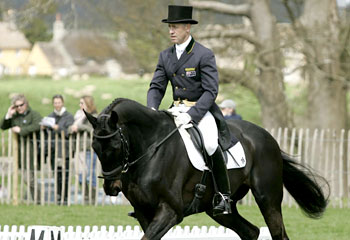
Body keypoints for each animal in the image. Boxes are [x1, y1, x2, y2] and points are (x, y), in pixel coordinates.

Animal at [85, 97, 328, 240]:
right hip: (218, 209)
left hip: (267, 198)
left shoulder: (171, 211)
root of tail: (268, 137)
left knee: (277, 233)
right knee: (251, 232)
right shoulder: (145, 212)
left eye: (116, 146)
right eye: (94, 147)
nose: (112, 187)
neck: (151, 147)